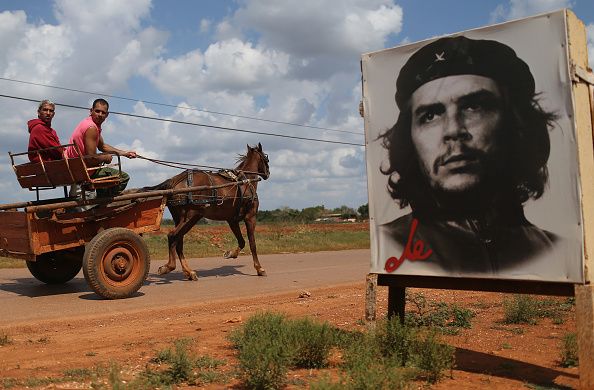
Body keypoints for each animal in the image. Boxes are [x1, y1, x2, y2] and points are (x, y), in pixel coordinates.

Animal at [134, 143, 268, 280]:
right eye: (266, 159)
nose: (267, 174)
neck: (245, 181)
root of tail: (175, 180)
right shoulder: (250, 217)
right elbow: (252, 243)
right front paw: (259, 268)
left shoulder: (232, 220)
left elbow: (242, 241)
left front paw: (231, 254)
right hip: (192, 216)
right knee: (172, 236)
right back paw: (169, 267)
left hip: (182, 217)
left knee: (178, 241)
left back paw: (189, 271)